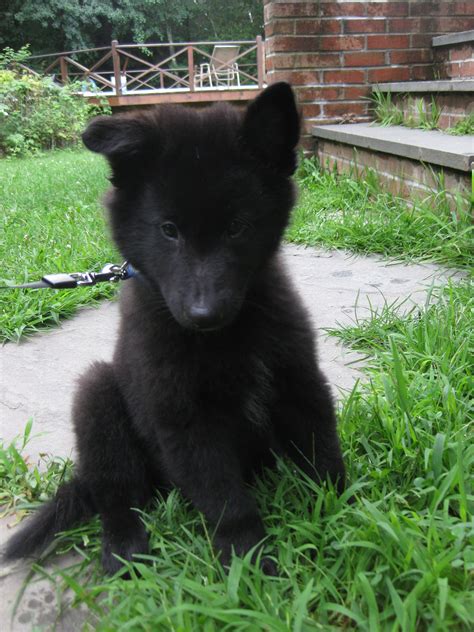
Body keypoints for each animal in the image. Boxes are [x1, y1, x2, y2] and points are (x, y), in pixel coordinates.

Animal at [3, 81, 344, 576]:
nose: (204, 315)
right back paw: (123, 548)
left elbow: (323, 452)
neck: (223, 341)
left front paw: (346, 514)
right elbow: (225, 501)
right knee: (117, 492)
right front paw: (249, 564)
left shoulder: (298, 378)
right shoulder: (182, 417)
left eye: (237, 227)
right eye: (168, 230)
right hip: (99, 398)